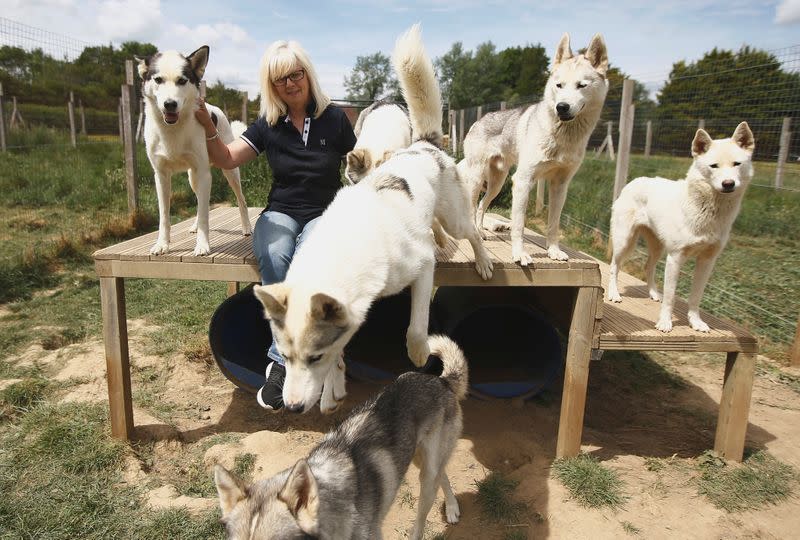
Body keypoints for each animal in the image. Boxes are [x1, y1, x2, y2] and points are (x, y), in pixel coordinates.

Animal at [135, 45, 250, 256]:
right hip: (192, 178)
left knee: (241, 200)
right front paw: (162, 244)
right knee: (199, 201)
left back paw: (246, 227)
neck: (173, 129)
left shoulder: (203, 172)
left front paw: (203, 245)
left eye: (182, 80)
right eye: (158, 80)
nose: (170, 104)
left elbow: (205, 215)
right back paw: (194, 225)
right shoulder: (161, 175)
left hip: (229, 171)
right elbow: (164, 216)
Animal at [216, 336, 468, 540]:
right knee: (443, 475)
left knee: (425, 509)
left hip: (427, 474)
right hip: (417, 457)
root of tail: (441, 381)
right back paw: (452, 509)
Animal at [250, 23, 490, 414]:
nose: (294, 407)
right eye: (285, 356)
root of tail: (424, 144)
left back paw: (482, 261)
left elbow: (416, 327)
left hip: (456, 216)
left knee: (472, 232)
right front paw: (332, 392)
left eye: (314, 357)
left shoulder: (422, 268)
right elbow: (343, 349)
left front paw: (419, 353)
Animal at [460, 31, 608, 264]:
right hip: (477, 179)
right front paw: (519, 254)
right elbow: (519, 225)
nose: (561, 107)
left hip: (497, 183)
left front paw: (554, 251)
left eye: (581, 85)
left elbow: (554, 225)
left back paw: (481, 232)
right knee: (474, 206)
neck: (562, 137)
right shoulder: (523, 181)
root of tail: (479, 120)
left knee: (482, 206)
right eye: (559, 85)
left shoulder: (560, 186)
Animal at [608, 123, 756, 334]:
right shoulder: (676, 258)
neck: (710, 212)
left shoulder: (707, 261)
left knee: (648, 266)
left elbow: (695, 297)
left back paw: (654, 294)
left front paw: (696, 323)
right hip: (624, 241)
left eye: (737, 164)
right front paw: (665, 323)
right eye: (714, 166)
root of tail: (634, 180)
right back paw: (614, 294)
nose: (728, 184)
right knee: (614, 266)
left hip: (658, 247)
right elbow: (671, 298)